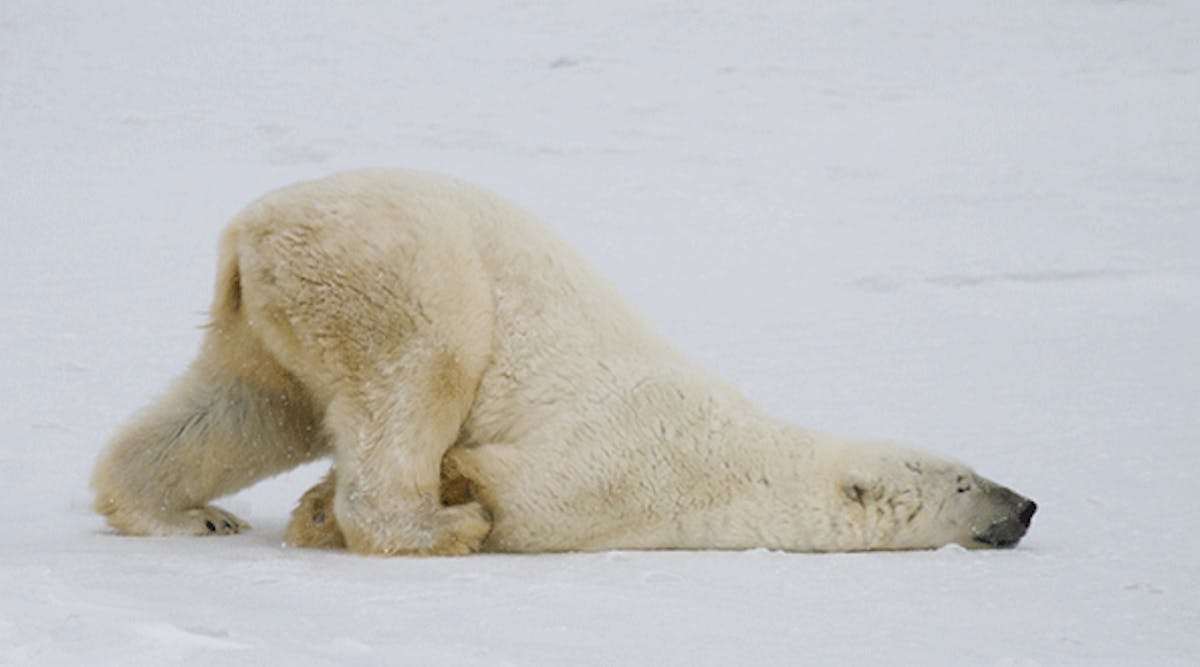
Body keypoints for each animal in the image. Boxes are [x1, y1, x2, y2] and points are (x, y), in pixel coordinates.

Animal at [91, 168, 1036, 555]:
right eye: (964, 479)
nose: (1026, 504)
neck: (747, 463)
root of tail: (249, 231)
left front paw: (311, 511)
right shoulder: (631, 470)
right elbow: (520, 495)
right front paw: (439, 497)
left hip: (277, 315)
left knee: (246, 406)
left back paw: (185, 513)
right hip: (391, 269)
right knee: (419, 372)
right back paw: (432, 527)